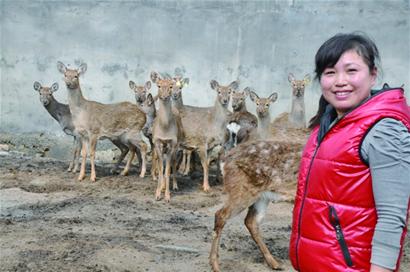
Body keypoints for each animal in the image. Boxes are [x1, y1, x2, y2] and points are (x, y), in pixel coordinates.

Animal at [150, 71, 183, 201]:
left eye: (170, 86)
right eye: (158, 85)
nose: (164, 96)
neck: (164, 128)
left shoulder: (172, 143)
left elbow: (168, 169)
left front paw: (168, 196)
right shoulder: (157, 142)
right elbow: (161, 169)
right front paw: (157, 194)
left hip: (177, 145)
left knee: (173, 162)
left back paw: (175, 186)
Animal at [210, 139, 302, 270]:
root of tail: (225, 160)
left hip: (261, 196)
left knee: (250, 221)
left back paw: (274, 263)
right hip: (242, 189)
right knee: (220, 215)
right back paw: (215, 265)